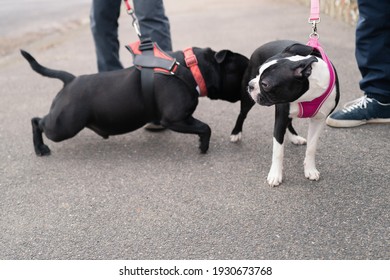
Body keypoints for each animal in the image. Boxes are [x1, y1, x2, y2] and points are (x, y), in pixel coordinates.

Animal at [21, 46, 247, 155]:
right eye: (245, 71)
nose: (251, 86)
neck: (192, 68)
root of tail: (70, 80)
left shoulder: (184, 118)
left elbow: (202, 127)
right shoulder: (175, 119)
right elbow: (205, 127)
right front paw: (203, 147)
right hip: (64, 126)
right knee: (37, 121)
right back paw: (40, 149)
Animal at [232, 39, 338, 187]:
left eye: (265, 84)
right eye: (258, 73)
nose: (251, 84)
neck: (308, 95)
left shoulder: (319, 120)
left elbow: (312, 147)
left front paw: (310, 170)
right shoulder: (281, 118)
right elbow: (278, 151)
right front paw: (275, 175)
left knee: (290, 122)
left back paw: (294, 137)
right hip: (247, 99)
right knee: (242, 114)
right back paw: (236, 133)